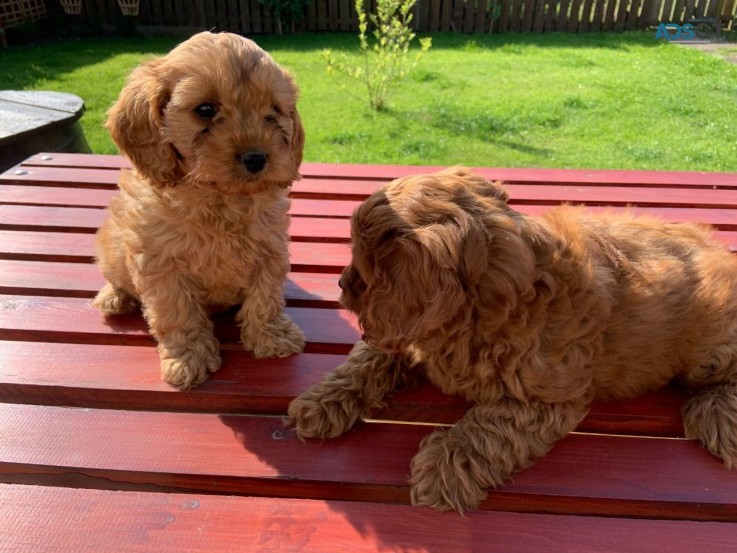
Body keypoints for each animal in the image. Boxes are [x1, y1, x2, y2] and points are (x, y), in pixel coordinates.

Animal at [94, 31, 304, 388]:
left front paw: (272, 336)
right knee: (116, 278)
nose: (256, 158)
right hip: (110, 251)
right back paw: (114, 297)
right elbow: (178, 314)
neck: (220, 199)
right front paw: (189, 358)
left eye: (274, 110)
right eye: (205, 109)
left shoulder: (270, 248)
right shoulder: (161, 266)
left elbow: (265, 297)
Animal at [284, 166, 736, 512]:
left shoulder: (545, 398)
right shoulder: (411, 336)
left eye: (367, 261)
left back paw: (717, 413)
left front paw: (443, 466)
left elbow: (487, 427)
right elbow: (369, 359)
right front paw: (321, 402)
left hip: (706, 346)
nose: (342, 284)